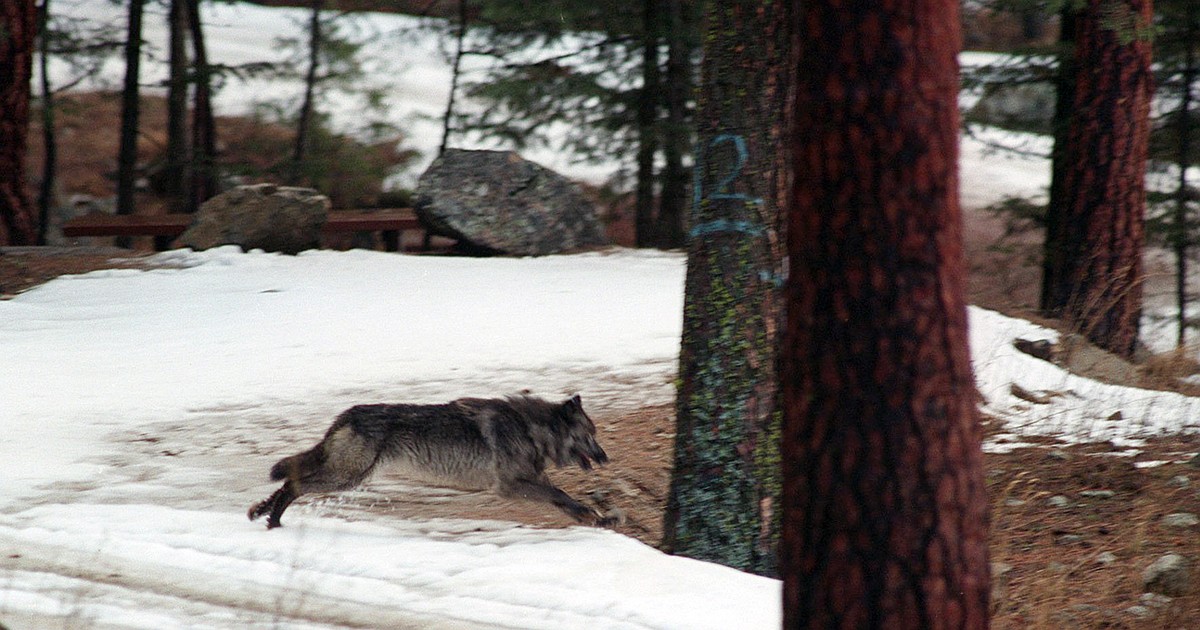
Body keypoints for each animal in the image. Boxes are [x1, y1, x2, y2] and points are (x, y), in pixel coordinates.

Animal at [248, 394, 615, 529]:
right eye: (589, 435)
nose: (605, 457)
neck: (529, 429)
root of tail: (345, 415)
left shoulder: (530, 481)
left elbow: (564, 500)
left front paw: (597, 518)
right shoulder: (510, 486)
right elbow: (561, 495)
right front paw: (594, 515)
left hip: (346, 474)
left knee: (290, 477)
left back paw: (261, 511)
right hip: (347, 478)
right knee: (294, 483)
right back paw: (274, 520)